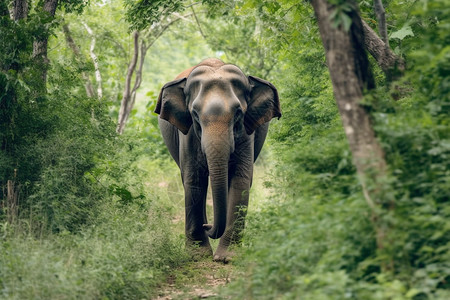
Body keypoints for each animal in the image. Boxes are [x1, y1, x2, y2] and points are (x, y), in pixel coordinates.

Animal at [156, 57, 280, 262]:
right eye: (195, 114)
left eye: (238, 113)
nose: (208, 227)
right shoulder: (188, 135)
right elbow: (194, 179)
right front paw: (197, 256)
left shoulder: (246, 133)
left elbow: (241, 179)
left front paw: (226, 258)